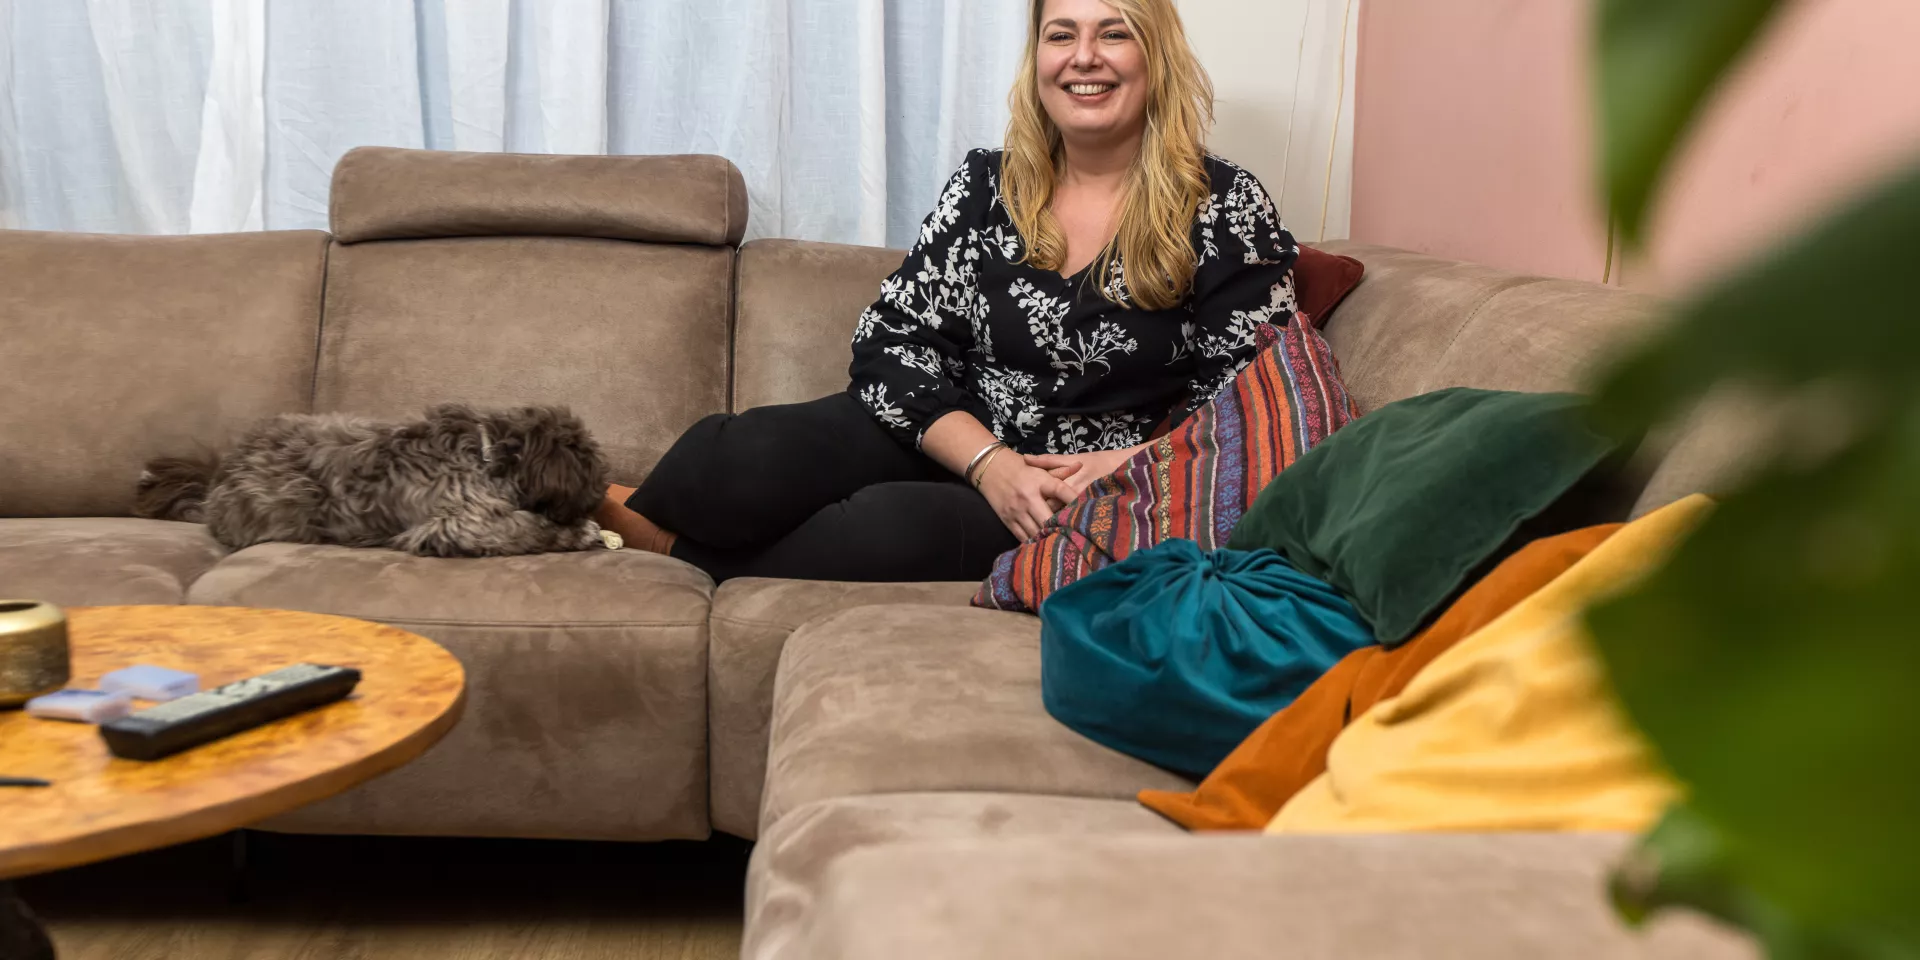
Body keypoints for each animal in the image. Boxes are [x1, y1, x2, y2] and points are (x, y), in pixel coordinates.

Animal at [134, 403, 610, 558]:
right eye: (590, 473)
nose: (603, 494)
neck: (488, 449)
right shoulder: (459, 522)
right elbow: (528, 526)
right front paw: (581, 533)